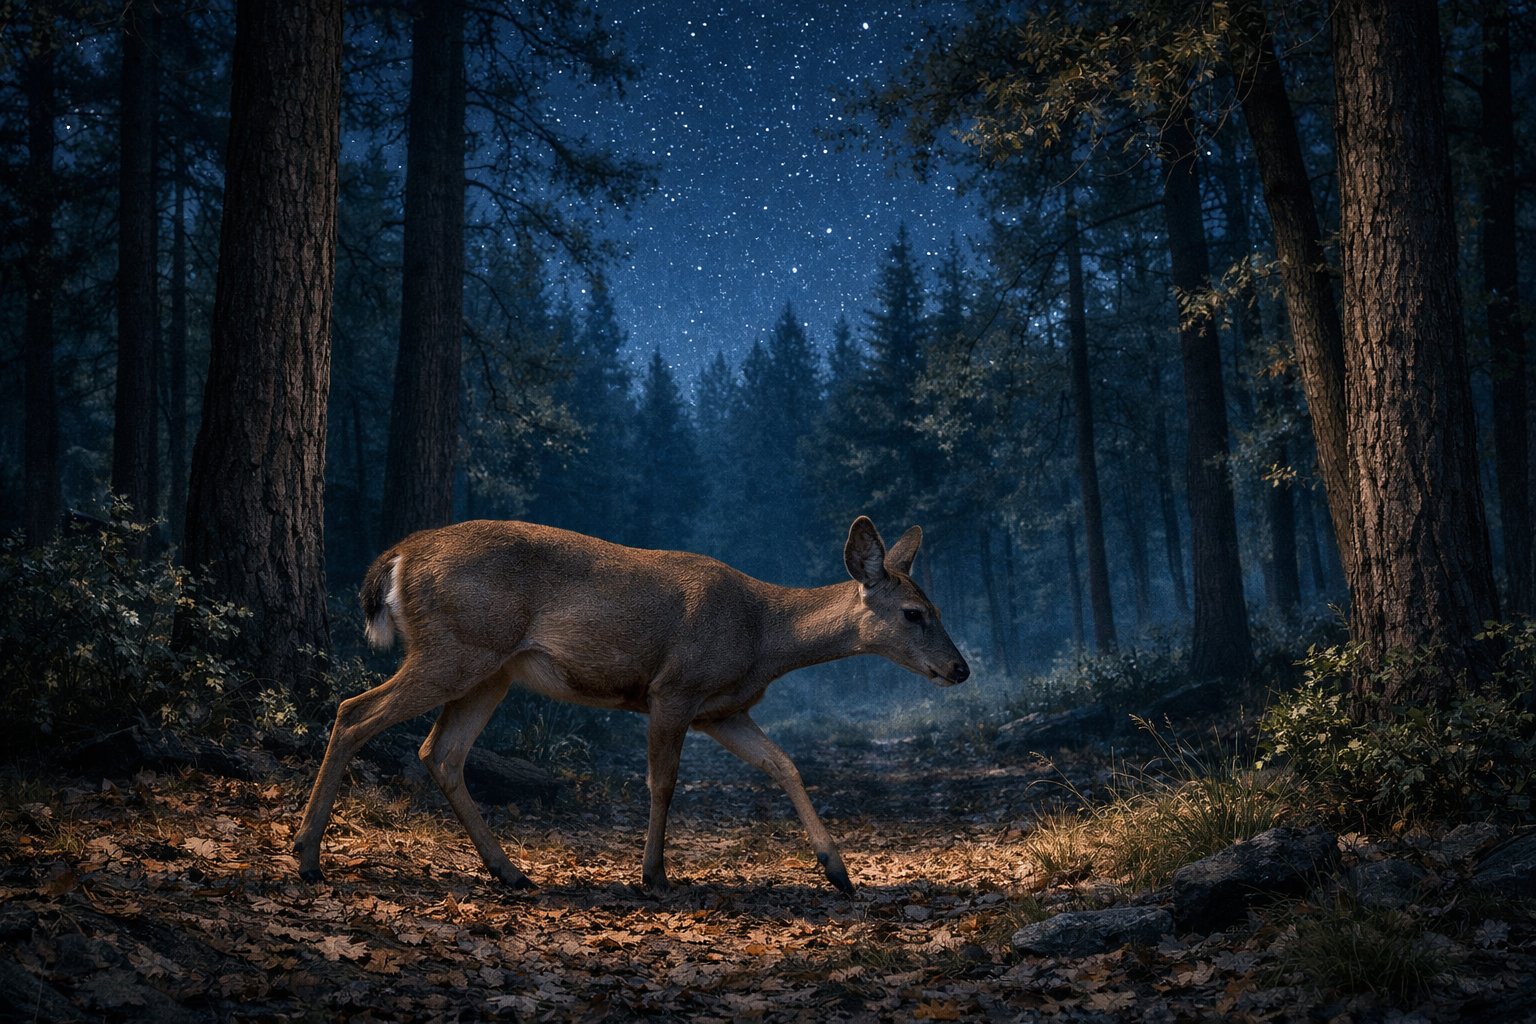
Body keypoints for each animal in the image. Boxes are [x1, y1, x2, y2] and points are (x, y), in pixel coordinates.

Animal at [292, 515, 969, 895]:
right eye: (916, 613)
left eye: (939, 608)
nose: (960, 669)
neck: (763, 635)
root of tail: (398, 558)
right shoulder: (674, 689)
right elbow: (662, 783)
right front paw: (653, 877)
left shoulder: (723, 709)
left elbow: (783, 764)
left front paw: (837, 870)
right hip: (456, 648)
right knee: (354, 712)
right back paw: (306, 857)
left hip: (490, 668)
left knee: (441, 752)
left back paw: (510, 872)